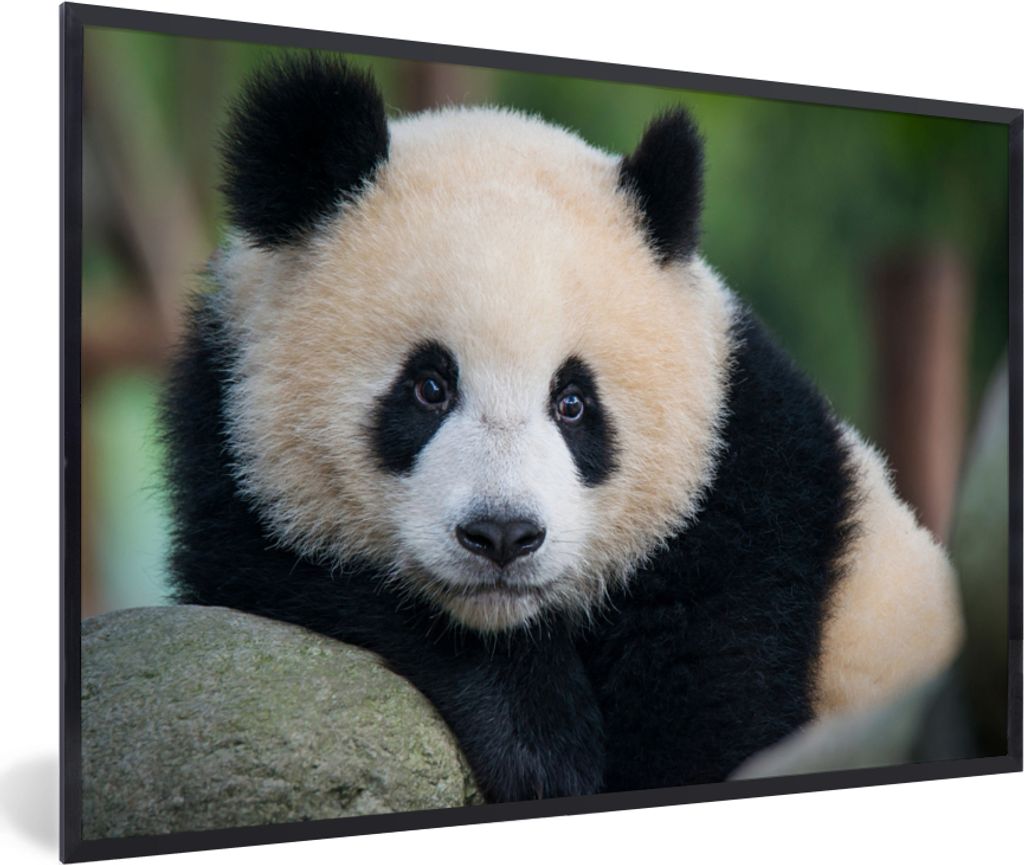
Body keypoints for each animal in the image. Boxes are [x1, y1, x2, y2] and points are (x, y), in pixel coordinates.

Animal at [163, 55, 964, 802]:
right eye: (428, 387)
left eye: (573, 402)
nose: (502, 535)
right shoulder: (226, 446)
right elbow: (289, 566)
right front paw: (540, 741)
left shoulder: (749, 498)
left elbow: (714, 699)